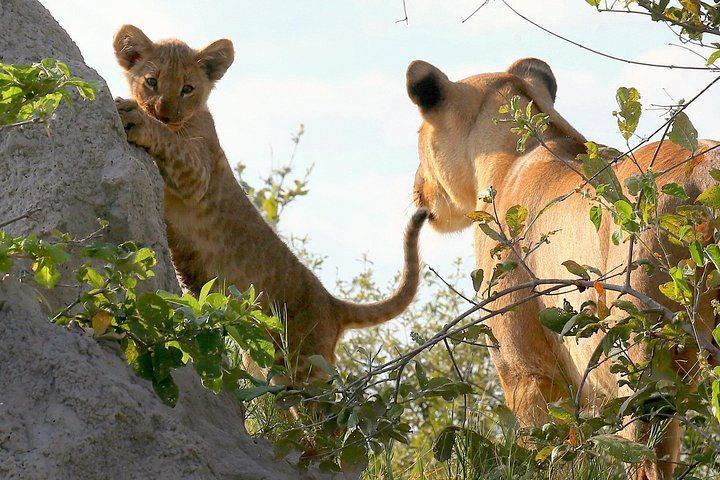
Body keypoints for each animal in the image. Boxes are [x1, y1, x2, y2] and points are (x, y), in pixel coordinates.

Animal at [112, 24, 427, 387]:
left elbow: (170, 143)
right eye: (152, 81)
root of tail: (332, 303)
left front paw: (136, 119)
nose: (162, 113)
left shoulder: (198, 174)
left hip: (304, 366)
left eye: (188, 88)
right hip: (265, 362)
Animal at [406, 57, 719, 479]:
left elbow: (543, 452)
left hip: (643, 358)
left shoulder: (529, 371)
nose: (417, 188)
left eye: (418, 134)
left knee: (647, 457)